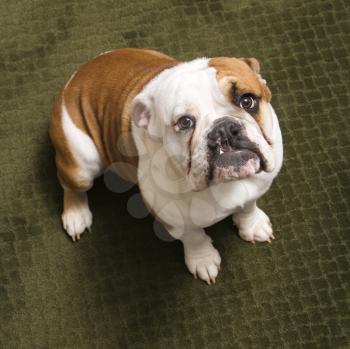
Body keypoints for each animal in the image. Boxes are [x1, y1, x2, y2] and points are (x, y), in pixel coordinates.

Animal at [50, 48, 284, 282]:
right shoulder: (173, 218)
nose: (223, 129)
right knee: (69, 184)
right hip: (81, 165)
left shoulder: (257, 187)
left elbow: (249, 206)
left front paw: (252, 224)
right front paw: (203, 259)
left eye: (247, 100)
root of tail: (74, 79)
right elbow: (193, 237)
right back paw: (76, 215)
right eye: (185, 122)